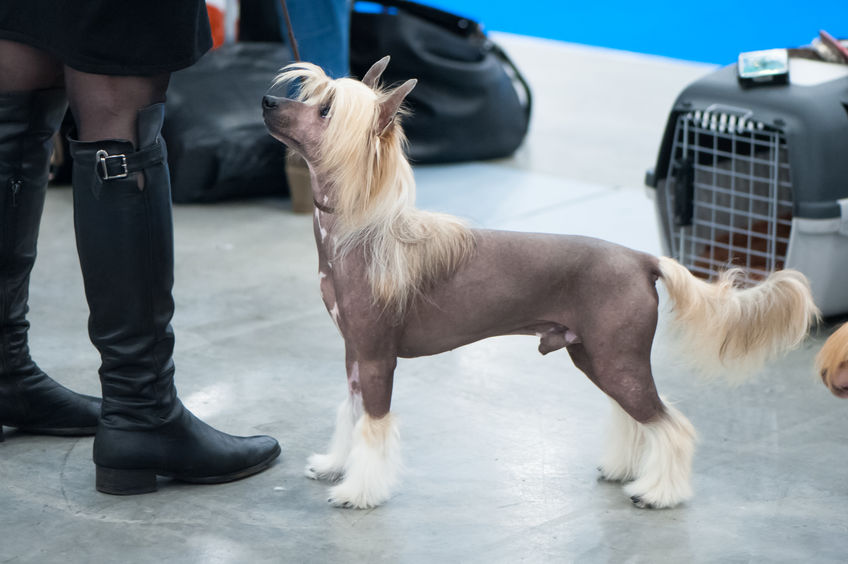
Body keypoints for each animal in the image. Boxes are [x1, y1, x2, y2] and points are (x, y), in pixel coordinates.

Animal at [260, 58, 820, 512]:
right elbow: (350, 414)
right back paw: (625, 469)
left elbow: (373, 426)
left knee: (670, 425)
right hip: (594, 355)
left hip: (617, 359)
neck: (360, 232)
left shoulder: (377, 358)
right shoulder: (354, 354)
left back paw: (660, 493)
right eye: (310, 96)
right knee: (635, 417)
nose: (267, 101)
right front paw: (336, 464)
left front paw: (359, 491)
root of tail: (643, 259)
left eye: (325, 111)